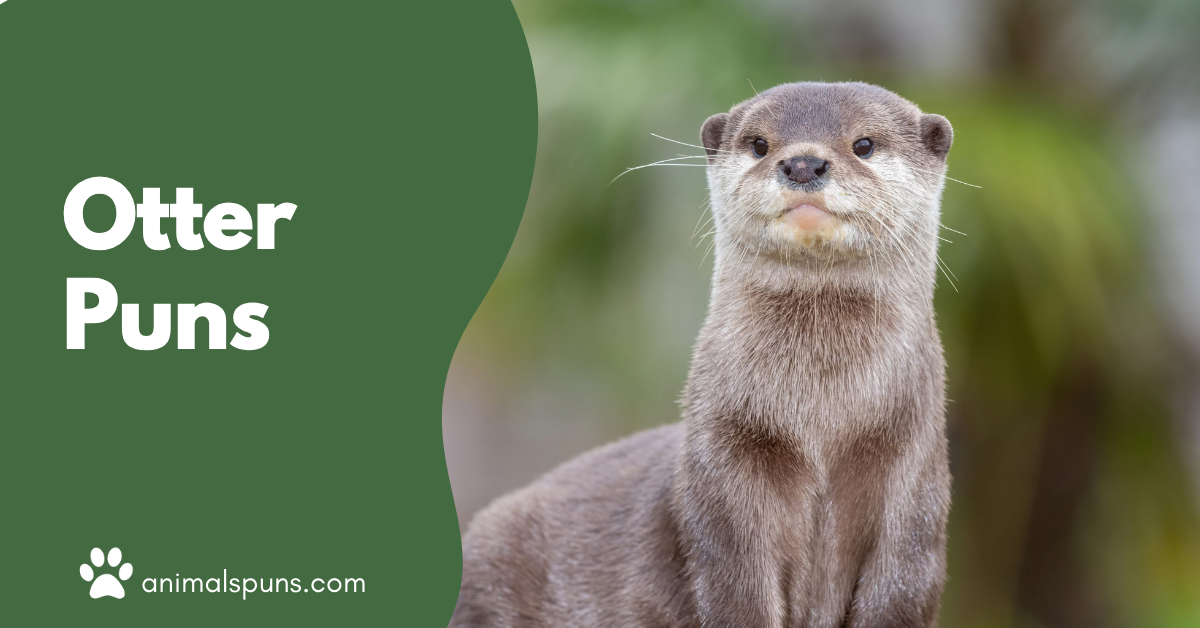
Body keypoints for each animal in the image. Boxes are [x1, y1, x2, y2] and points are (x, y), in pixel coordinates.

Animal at [451, 81, 954, 628]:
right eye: (759, 143)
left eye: (864, 144)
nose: (803, 164)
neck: (819, 426)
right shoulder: (722, 472)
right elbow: (736, 588)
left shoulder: (913, 481)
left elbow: (898, 587)